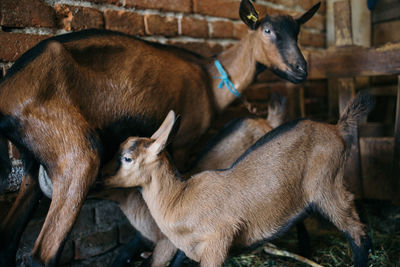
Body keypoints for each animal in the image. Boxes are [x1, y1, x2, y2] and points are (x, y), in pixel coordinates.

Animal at [0, 0, 320, 266]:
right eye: (267, 30)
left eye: (298, 32)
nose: (301, 70)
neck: (209, 80)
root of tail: (8, 92)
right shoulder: (184, 141)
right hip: (75, 153)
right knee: (43, 254)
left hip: (33, 161)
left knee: (11, 237)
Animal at [102, 92, 376, 267]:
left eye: (126, 158)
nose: (102, 176)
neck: (178, 197)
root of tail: (338, 129)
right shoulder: (185, 248)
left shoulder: (218, 239)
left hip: (327, 185)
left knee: (356, 230)